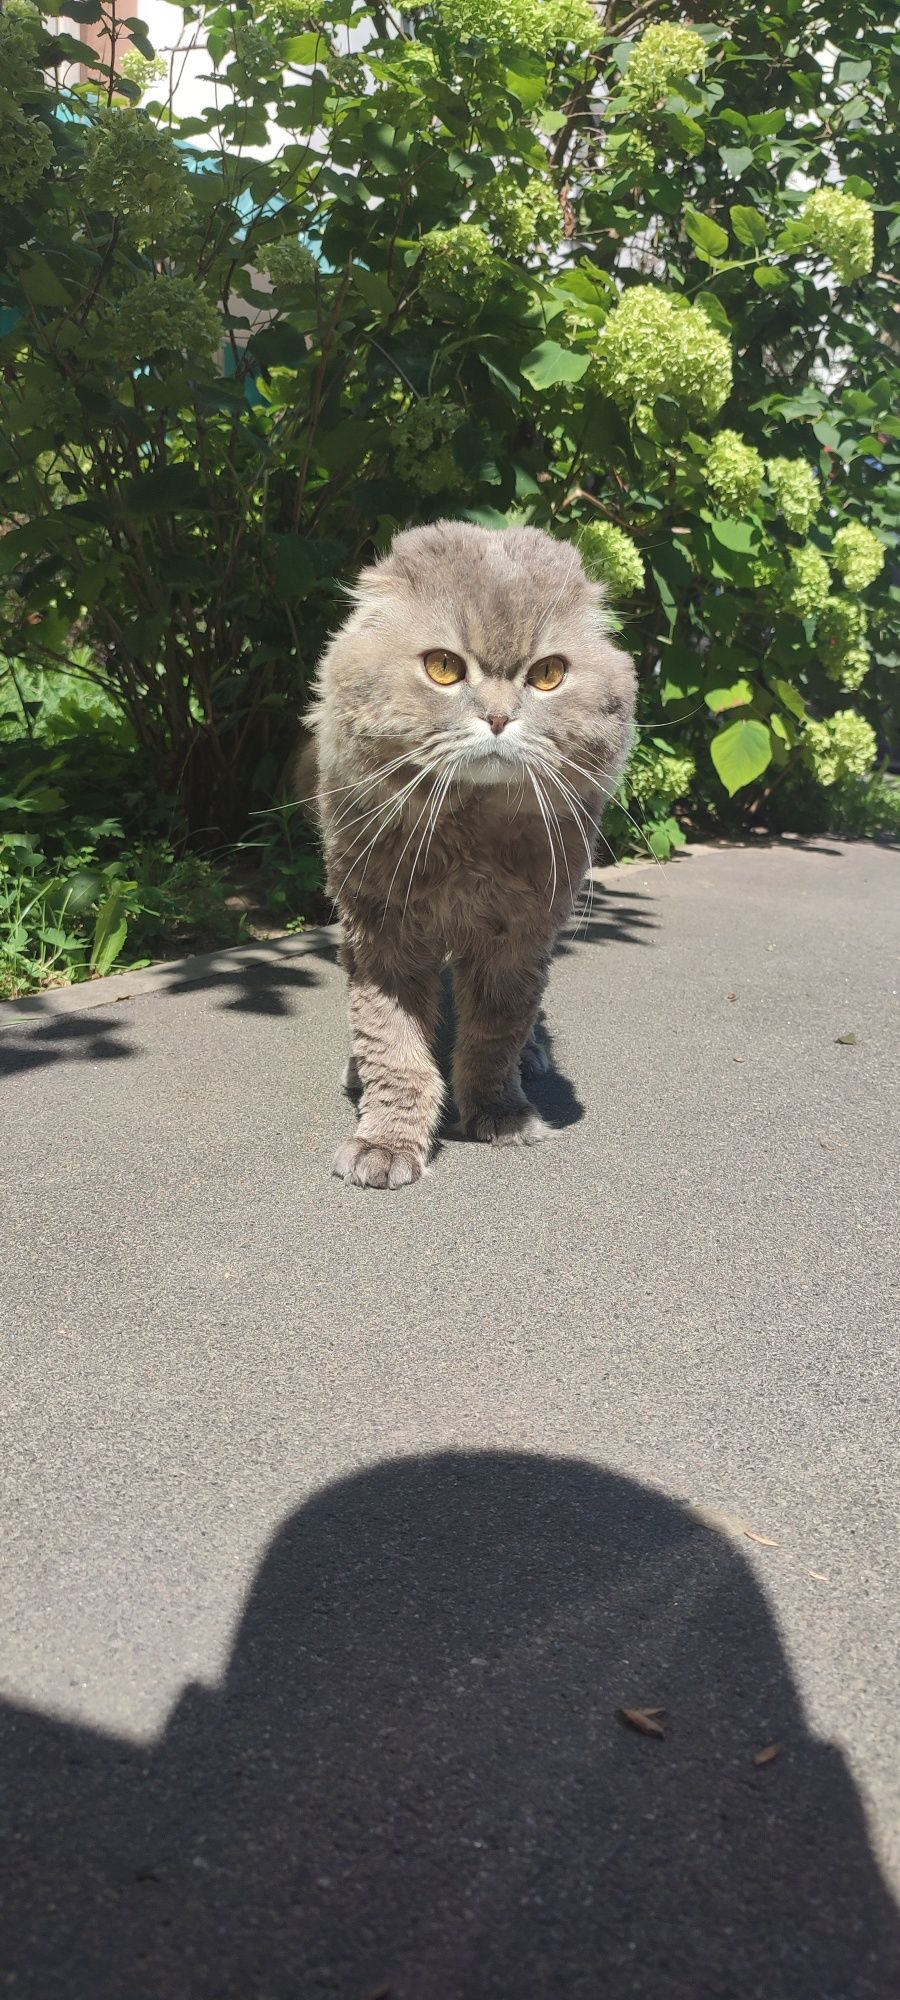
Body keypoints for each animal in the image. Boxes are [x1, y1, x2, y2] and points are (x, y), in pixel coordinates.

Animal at [310, 524, 640, 1192]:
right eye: (443, 668)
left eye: (548, 674)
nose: (497, 717)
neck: (468, 836)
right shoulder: (380, 934)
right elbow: (394, 1048)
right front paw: (386, 1142)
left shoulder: (516, 939)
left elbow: (494, 1035)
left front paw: (499, 1114)